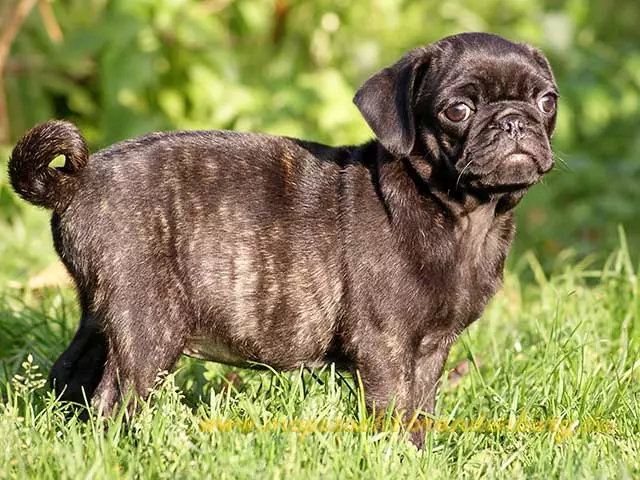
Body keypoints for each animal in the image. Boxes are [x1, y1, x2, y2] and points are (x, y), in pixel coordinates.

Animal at [7, 32, 556, 446]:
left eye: (547, 101)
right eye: (458, 110)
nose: (514, 120)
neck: (466, 216)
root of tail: (78, 181)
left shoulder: (430, 350)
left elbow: (419, 411)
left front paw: (417, 457)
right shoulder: (384, 346)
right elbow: (391, 411)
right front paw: (392, 457)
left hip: (104, 315)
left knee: (72, 375)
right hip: (149, 324)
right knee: (115, 399)